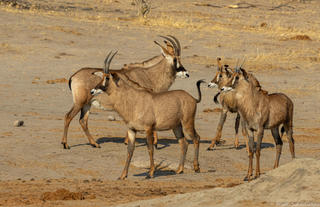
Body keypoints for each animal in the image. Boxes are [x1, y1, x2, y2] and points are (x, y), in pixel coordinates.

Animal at [61, 35, 189, 149]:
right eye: (175, 59)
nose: (186, 74)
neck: (149, 75)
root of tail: (74, 76)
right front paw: (153, 143)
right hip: (80, 103)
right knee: (68, 116)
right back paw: (65, 144)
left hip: (87, 104)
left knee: (83, 121)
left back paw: (94, 144)